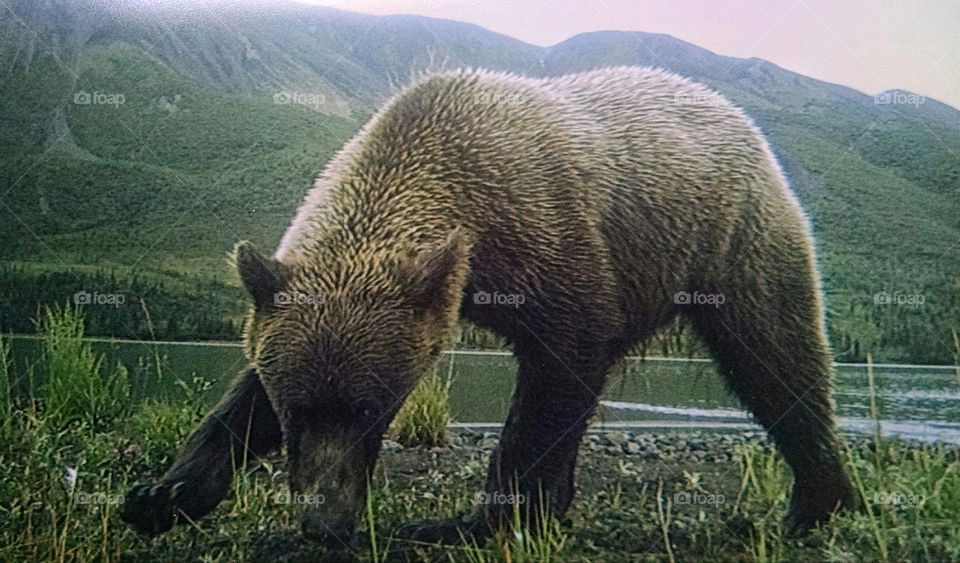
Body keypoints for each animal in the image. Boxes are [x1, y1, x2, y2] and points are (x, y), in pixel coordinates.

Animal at [121, 66, 856, 546]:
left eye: (372, 408)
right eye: (295, 409)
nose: (326, 522)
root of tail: (740, 116)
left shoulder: (548, 238)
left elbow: (557, 371)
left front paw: (472, 517)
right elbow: (240, 399)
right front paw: (163, 494)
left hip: (738, 237)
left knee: (776, 361)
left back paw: (816, 503)